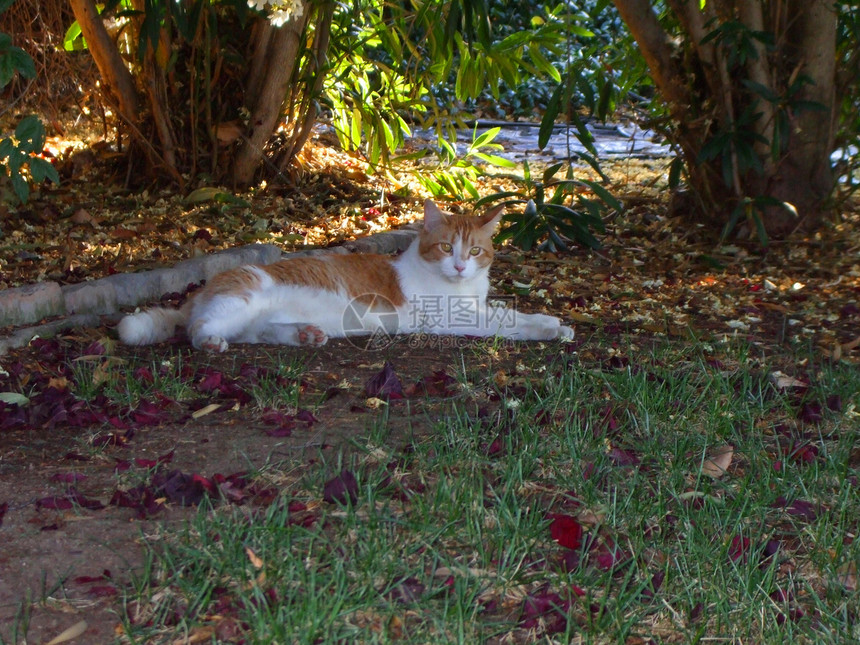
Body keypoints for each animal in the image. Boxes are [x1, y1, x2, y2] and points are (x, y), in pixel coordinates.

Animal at [114, 201, 572, 352]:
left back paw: (305, 334)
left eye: (474, 251)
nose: (460, 265)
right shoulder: (453, 317)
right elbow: (509, 322)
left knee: (258, 334)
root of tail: (201, 289)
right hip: (240, 300)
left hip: (256, 319)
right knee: (198, 330)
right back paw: (210, 341)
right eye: (446, 248)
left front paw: (556, 324)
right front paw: (550, 326)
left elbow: (509, 312)